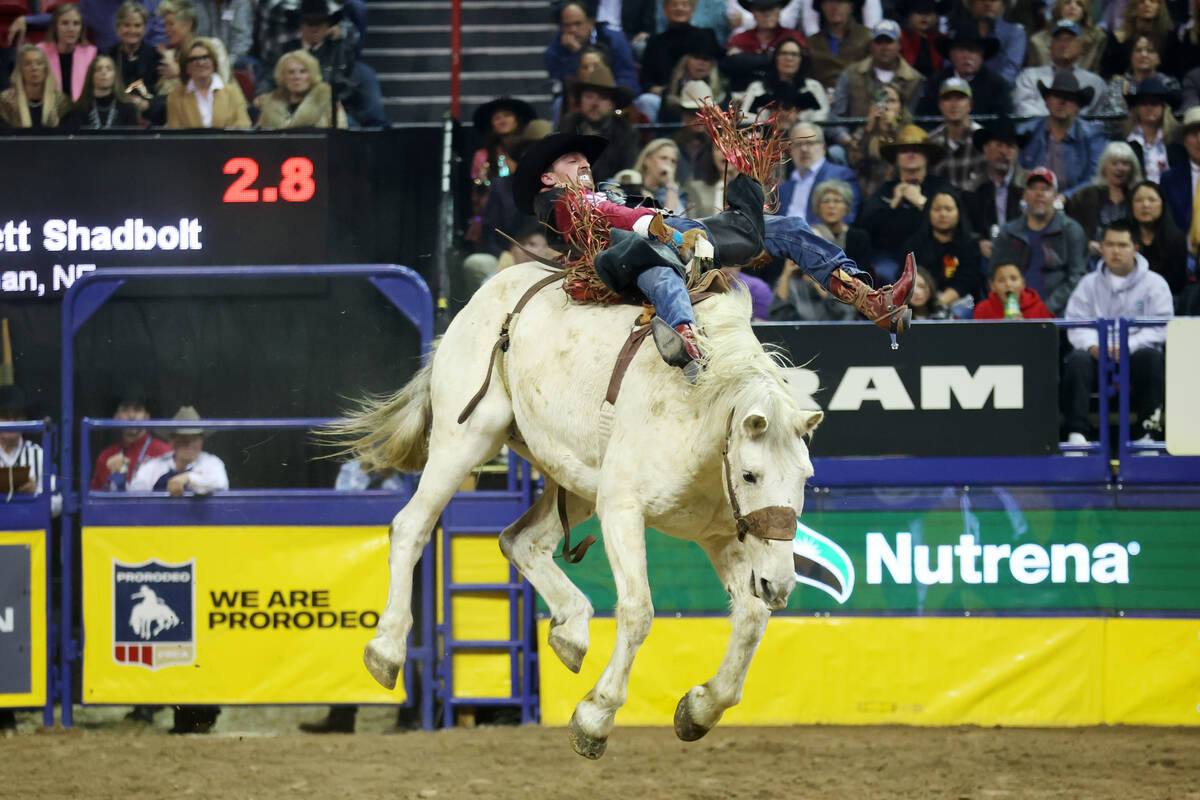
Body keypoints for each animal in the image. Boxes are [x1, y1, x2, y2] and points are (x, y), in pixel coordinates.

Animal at [338, 261, 825, 758]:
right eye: (750, 475)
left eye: (805, 477)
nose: (780, 584)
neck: (699, 410)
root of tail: (490, 293)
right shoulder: (622, 510)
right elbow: (638, 612)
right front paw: (595, 717)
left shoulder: (722, 536)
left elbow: (751, 617)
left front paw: (700, 708)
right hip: (465, 440)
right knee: (410, 528)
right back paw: (386, 649)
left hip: (575, 481)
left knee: (521, 541)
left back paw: (571, 629)